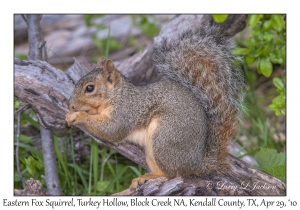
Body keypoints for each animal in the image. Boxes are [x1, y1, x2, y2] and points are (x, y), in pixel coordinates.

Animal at [65, 24, 244, 189]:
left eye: (90, 88)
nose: (71, 105)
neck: (117, 95)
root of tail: (197, 163)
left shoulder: (125, 112)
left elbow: (113, 130)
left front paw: (78, 116)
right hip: (151, 151)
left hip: (164, 137)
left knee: (172, 173)